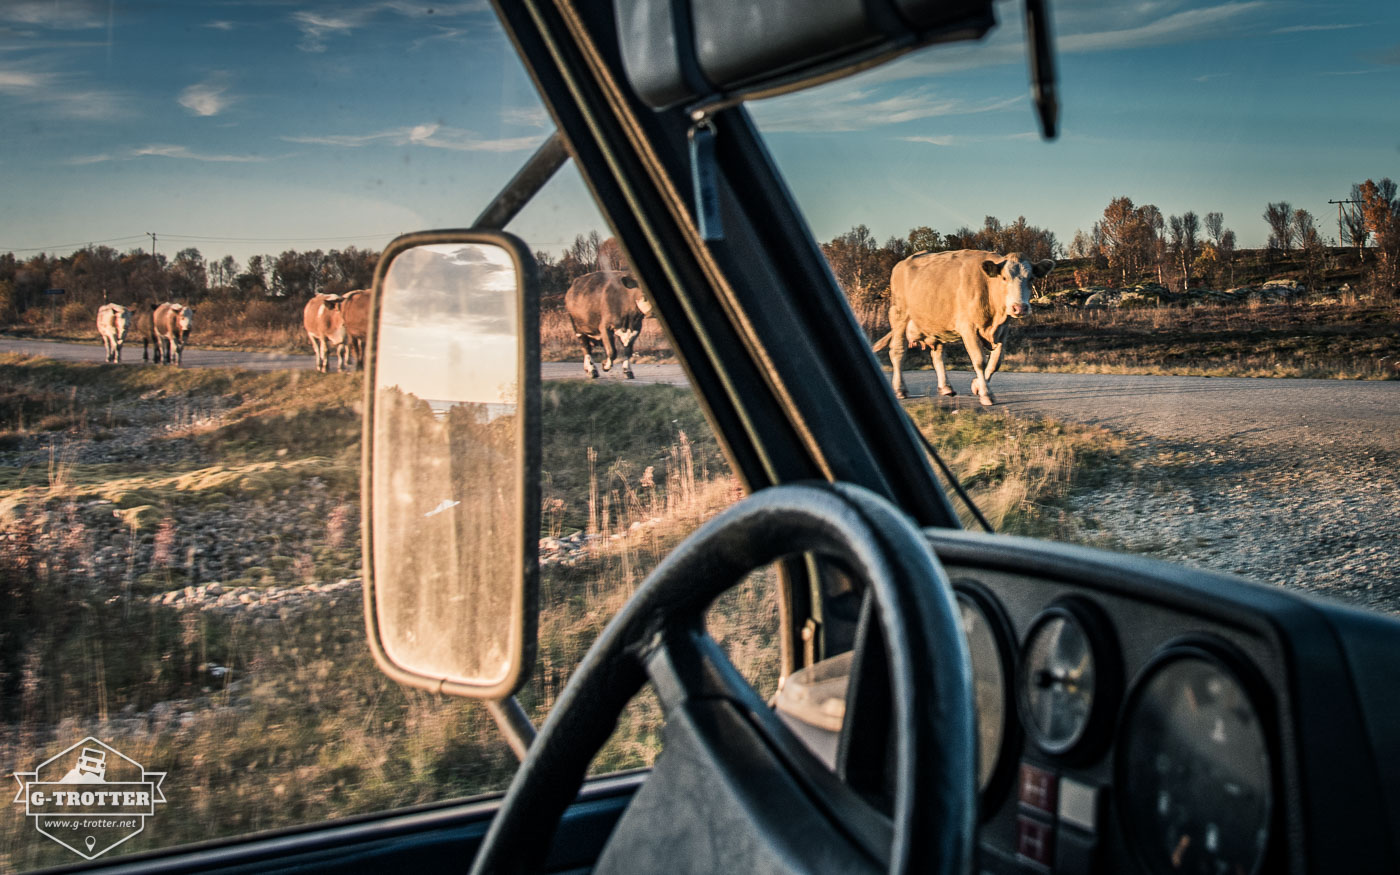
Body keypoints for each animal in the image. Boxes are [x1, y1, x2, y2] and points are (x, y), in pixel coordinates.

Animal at [868, 249, 1052, 406]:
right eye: (1004, 278)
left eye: (1031, 278)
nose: (1019, 308)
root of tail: (903, 263)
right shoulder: (968, 328)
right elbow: (979, 360)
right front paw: (986, 394)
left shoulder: (1003, 330)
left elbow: (995, 362)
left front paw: (977, 385)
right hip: (899, 315)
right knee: (897, 351)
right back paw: (900, 389)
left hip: (936, 325)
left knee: (937, 355)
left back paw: (945, 387)